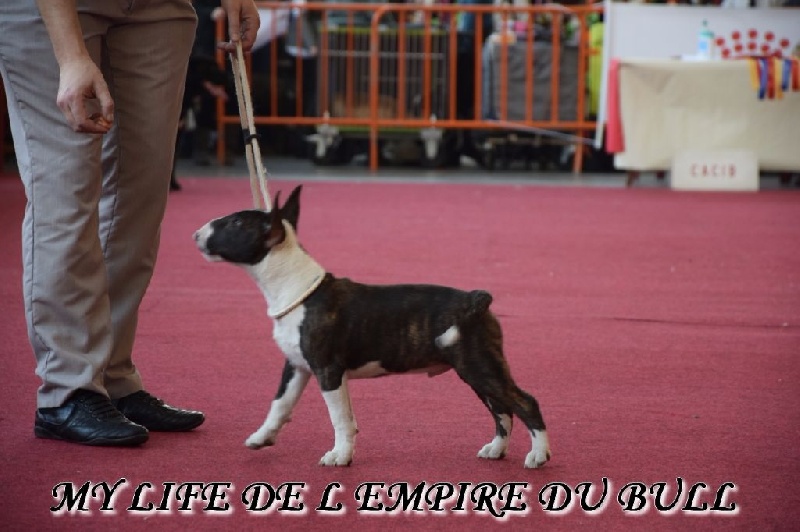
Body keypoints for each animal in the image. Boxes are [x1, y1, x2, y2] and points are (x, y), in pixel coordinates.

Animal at [193, 185, 550, 468]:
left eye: (236, 222)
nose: (196, 234)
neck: (294, 287)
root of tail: (476, 299)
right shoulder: (296, 367)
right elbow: (280, 405)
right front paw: (261, 438)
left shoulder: (327, 371)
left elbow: (340, 418)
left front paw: (340, 456)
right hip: (475, 370)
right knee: (501, 408)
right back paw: (496, 449)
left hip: (479, 365)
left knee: (524, 402)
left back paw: (538, 455)